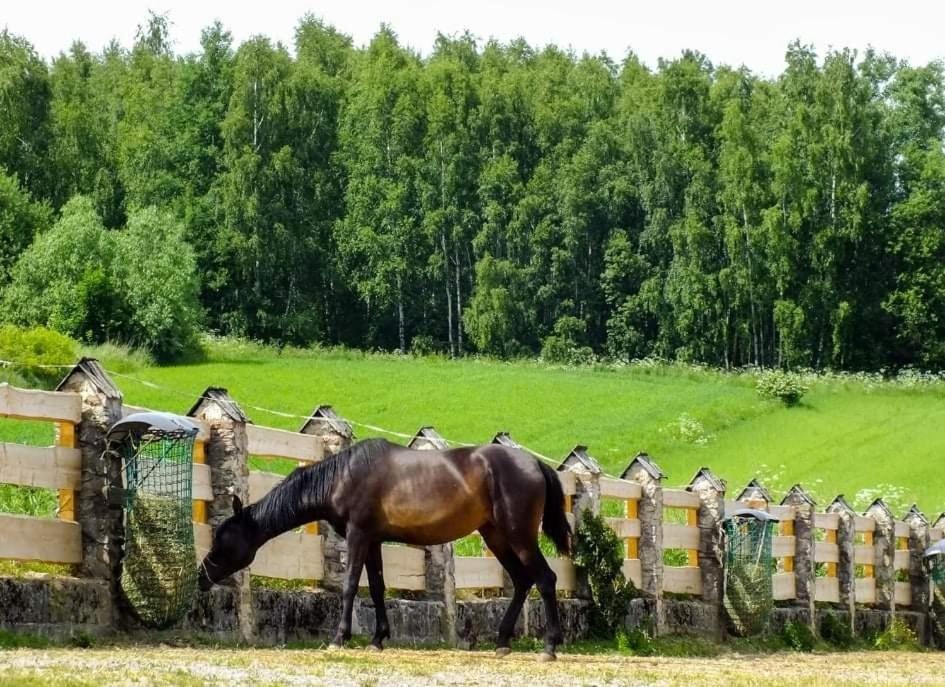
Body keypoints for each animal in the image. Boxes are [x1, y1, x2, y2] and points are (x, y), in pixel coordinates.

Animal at [195, 438, 572, 660]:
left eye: (223, 538)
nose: (202, 576)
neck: (342, 476)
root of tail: (535, 464)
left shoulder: (358, 535)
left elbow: (350, 586)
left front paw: (340, 637)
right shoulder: (373, 540)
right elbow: (377, 587)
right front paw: (378, 638)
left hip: (519, 536)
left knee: (545, 579)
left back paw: (550, 646)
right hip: (495, 536)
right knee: (522, 581)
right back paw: (502, 642)